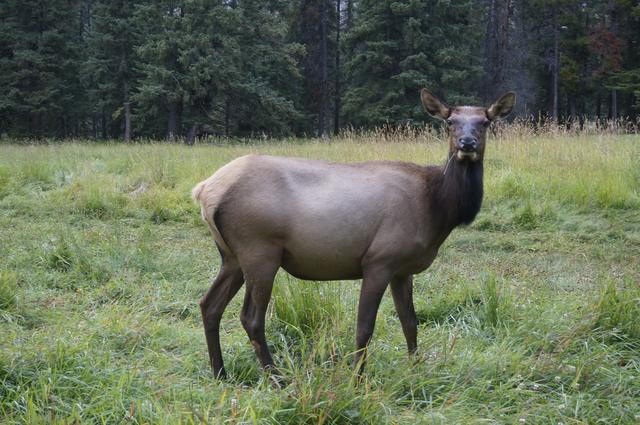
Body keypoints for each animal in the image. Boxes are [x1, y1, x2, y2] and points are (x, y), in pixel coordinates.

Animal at [191, 89, 516, 378]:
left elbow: (410, 323)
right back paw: (276, 377)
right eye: (450, 121)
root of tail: (205, 190)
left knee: (209, 304)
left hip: (232, 256)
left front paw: (416, 370)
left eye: (485, 122)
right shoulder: (379, 260)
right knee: (251, 318)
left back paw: (220, 373)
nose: (467, 142)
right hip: (259, 251)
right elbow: (365, 328)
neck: (437, 209)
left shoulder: (402, 269)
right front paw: (357, 378)